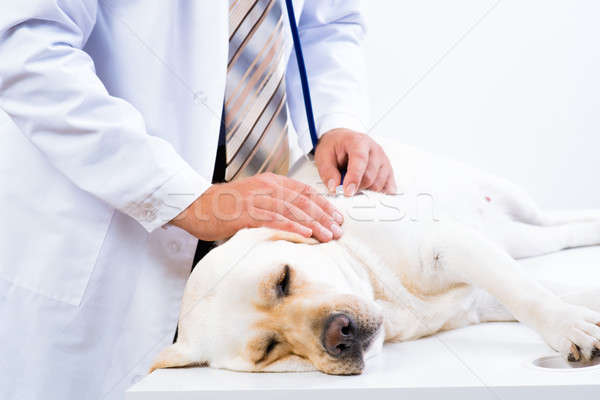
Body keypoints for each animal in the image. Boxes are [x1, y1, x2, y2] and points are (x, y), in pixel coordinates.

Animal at [151, 141, 600, 376]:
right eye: (268, 349)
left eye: (283, 279)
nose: (340, 333)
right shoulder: (479, 299)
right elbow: (552, 291)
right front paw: (581, 315)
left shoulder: (451, 246)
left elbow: (528, 293)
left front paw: (569, 328)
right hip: (519, 238)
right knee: (560, 235)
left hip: (514, 209)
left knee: (560, 223)